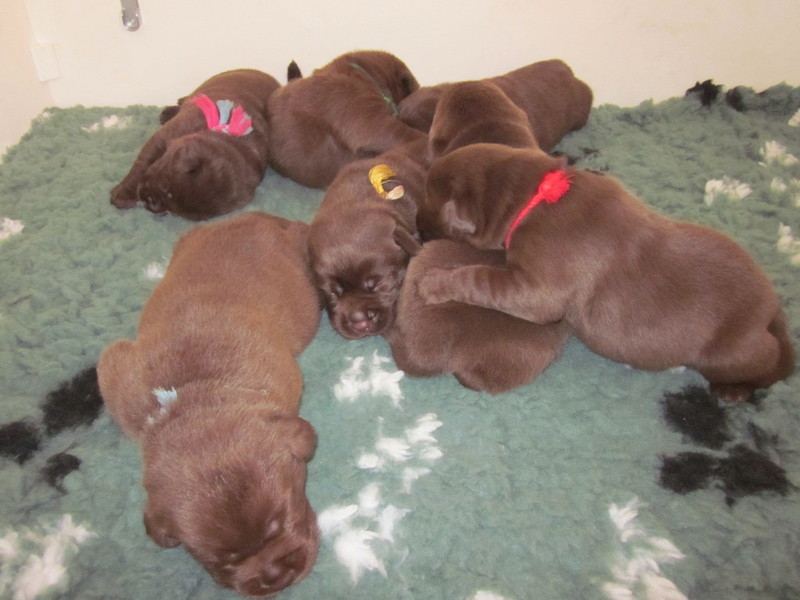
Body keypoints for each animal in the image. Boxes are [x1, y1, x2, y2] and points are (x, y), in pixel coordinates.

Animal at [97, 212, 322, 597]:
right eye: (222, 561)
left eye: (281, 523)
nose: (276, 578)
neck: (191, 400)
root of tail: (257, 217)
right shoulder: (118, 380)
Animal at [110, 69, 279, 220]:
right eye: (167, 189)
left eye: (173, 212)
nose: (150, 205)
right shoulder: (164, 137)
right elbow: (141, 165)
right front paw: (121, 196)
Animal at [417, 143, 795, 402]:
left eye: (427, 206)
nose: (417, 227)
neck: (535, 195)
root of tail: (772, 305)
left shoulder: (538, 284)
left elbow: (483, 279)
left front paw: (433, 281)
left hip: (732, 351)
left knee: (772, 362)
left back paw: (735, 390)